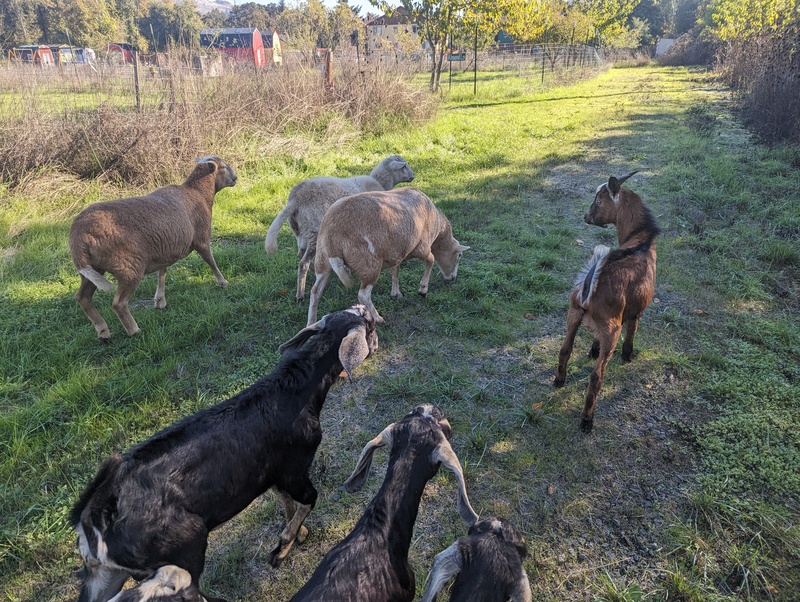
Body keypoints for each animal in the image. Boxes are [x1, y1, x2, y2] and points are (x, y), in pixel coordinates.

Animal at [70, 156, 238, 338]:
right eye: (223, 167)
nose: (235, 178)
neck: (198, 192)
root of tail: (78, 234)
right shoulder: (201, 238)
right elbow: (211, 261)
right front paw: (223, 282)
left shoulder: (164, 248)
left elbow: (162, 273)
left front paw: (160, 300)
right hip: (129, 266)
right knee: (118, 303)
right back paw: (133, 330)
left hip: (93, 268)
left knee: (83, 297)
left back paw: (103, 332)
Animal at [71, 304, 378, 600]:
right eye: (369, 325)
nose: (378, 339)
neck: (295, 393)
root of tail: (96, 518)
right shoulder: (294, 467)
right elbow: (309, 499)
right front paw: (282, 547)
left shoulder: (271, 475)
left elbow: (286, 502)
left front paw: (298, 534)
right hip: (185, 547)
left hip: (105, 575)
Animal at [266, 155, 416, 302]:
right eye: (404, 166)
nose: (413, 176)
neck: (380, 182)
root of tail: (297, 198)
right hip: (315, 230)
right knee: (303, 263)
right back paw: (300, 295)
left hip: (300, 232)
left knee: (300, 256)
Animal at [552, 172, 660, 432]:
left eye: (599, 200)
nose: (586, 216)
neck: (641, 241)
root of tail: (587, 291)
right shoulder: (635, 311)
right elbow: (632, 332)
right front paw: (629, 355)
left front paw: (593, 349)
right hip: (612, 329)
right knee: (596, 376)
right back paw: (587, 420)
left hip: (573, 314)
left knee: (565, 349)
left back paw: (559, 380)